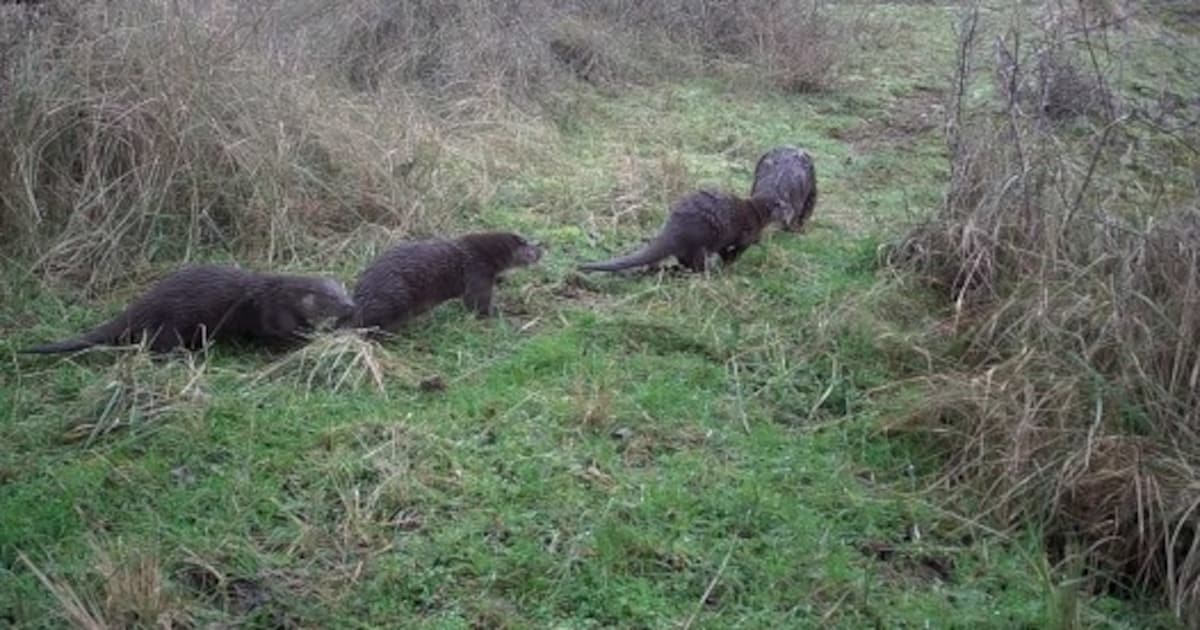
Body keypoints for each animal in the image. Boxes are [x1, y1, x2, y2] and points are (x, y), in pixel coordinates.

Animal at [22, 265, 354, 354]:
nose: (351, 306)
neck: (284, 295)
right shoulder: (275, 311)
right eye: (332, 298)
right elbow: (283, 332)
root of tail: (142, 304)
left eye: (344, 290)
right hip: (171, 323)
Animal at [347, 231, 542, 333]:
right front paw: (498, 314)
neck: (482, 253)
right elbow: (477, 303)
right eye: (529, 246)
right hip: (393, 295)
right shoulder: (478, 272)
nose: (542, 247)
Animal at [578, 189, 790, 273]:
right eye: (784, 207)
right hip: (703, 239)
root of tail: (676, 227)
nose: (792, 211)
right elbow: (734, 252)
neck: (757, 214)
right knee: (695, 261)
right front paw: (729, 265)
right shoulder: (746, 235)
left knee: (683, 258)